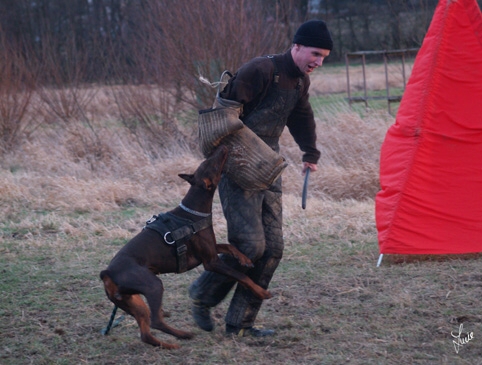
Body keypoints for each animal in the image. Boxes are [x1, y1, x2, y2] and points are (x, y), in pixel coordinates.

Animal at [99, 145, 272, 346]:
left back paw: (168, 344)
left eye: (207, 161)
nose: (223, 147)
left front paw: (244, 259)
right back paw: (183, 335)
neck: (194, 211)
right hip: (153, 285)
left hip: (131, 300)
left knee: (146, 332)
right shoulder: (211, 262)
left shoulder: (210, 250)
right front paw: (261, 292)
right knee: (156, 321)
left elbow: (229, 246)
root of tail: (107, 273)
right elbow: (240, 276)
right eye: (212, 164)